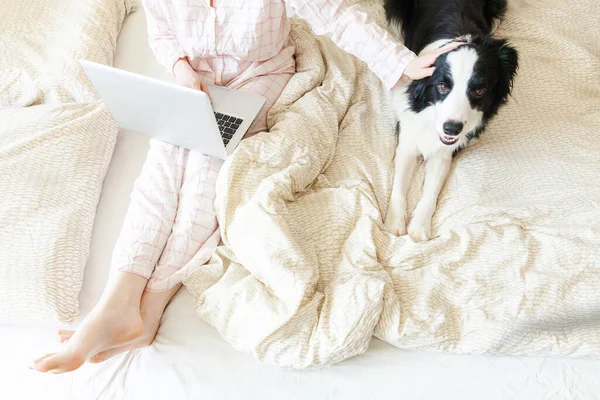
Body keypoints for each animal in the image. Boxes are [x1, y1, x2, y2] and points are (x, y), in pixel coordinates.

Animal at [384, 0, 520, 241]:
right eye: (442, 86)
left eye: (479, 90)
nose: (452, 128)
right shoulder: (408, 136)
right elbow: (399, 183)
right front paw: (395, 223)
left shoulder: (444, 152)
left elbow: (431, 189)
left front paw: (419, 228)